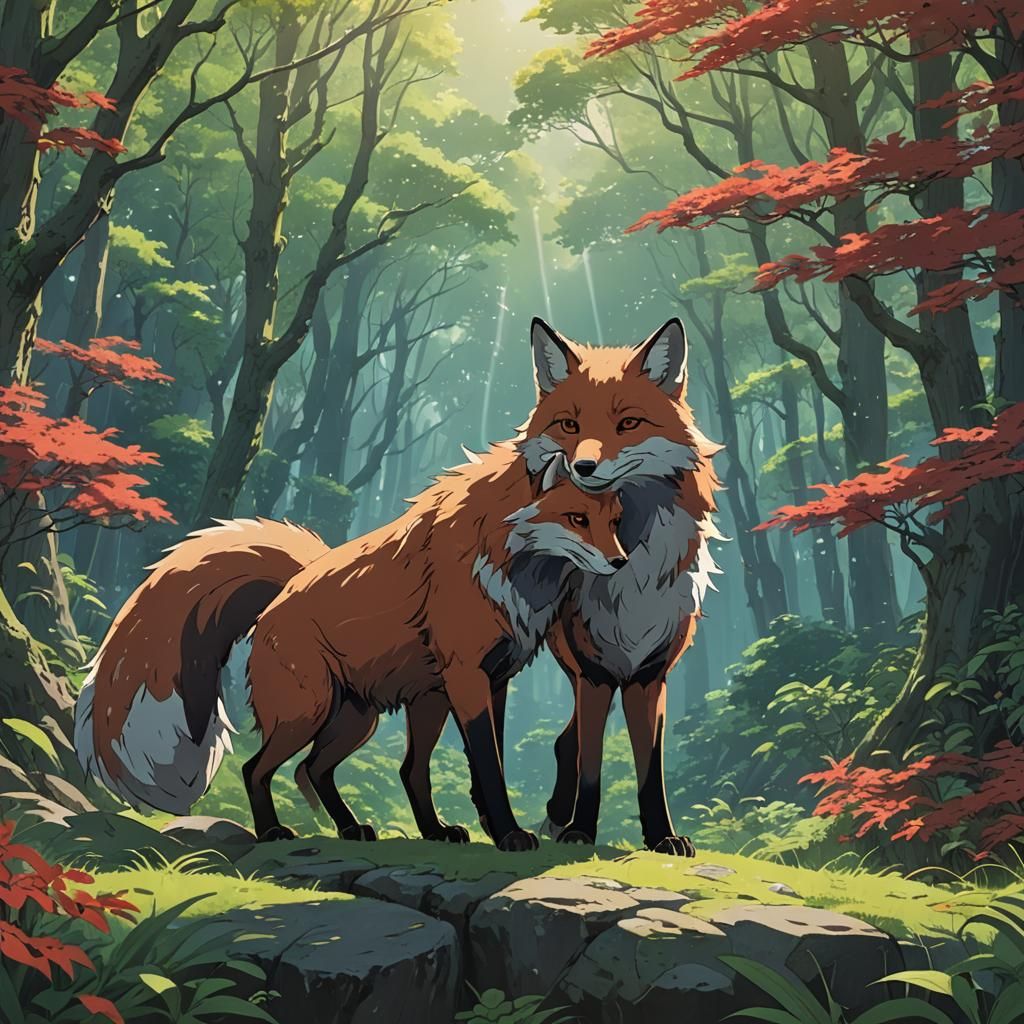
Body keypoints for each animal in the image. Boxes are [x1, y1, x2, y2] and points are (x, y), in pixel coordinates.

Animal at [74, 444, 627, 851]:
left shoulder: (494, 680)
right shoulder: (468, 678)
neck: (502, 567)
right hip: (312, 712)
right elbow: (489, 767)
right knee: (261, 768)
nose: (621, 563)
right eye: (577, 518)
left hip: (380, 715)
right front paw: (510, 835)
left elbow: (486, 767)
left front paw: (496, 829)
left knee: (357, 770)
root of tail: (288, 587)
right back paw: (272, 832)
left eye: (615, 521)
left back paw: (393, 830)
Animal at [515, 316, 723, 855]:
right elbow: (590, 764)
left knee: (565, 741)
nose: (583, 468)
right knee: (567, 742)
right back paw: (558, 816)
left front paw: (662, 836)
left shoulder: (649, 676)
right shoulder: (595, 673)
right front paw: (581, 830)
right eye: (569, 426)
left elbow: (650, 769)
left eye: (627, 424)